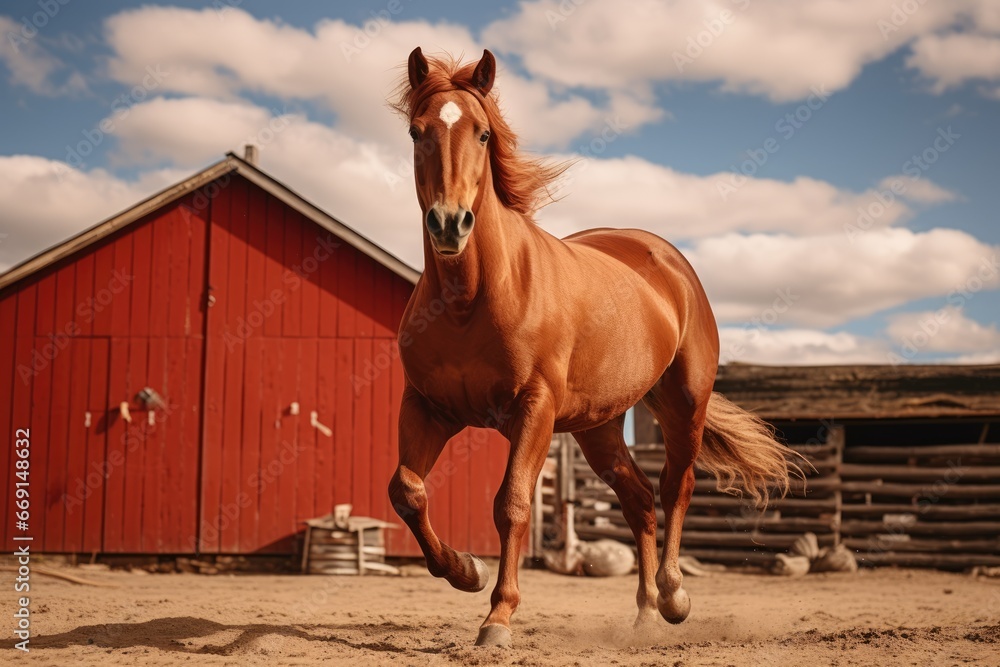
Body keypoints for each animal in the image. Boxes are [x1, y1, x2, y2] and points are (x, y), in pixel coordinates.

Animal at [386, 47, 800, 648]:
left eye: (483, 134)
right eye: (417, 132)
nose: (449, 223)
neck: (471, 298)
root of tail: (666, 258)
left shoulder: (533, 410)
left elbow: (512, 503)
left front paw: (498, 617)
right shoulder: (427, 407)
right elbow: (407, 491)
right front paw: (466, 570)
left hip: (683, 405)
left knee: (676, 487)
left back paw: (673, 597)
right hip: (598, 427)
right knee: (639, 500)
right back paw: (645, 615)